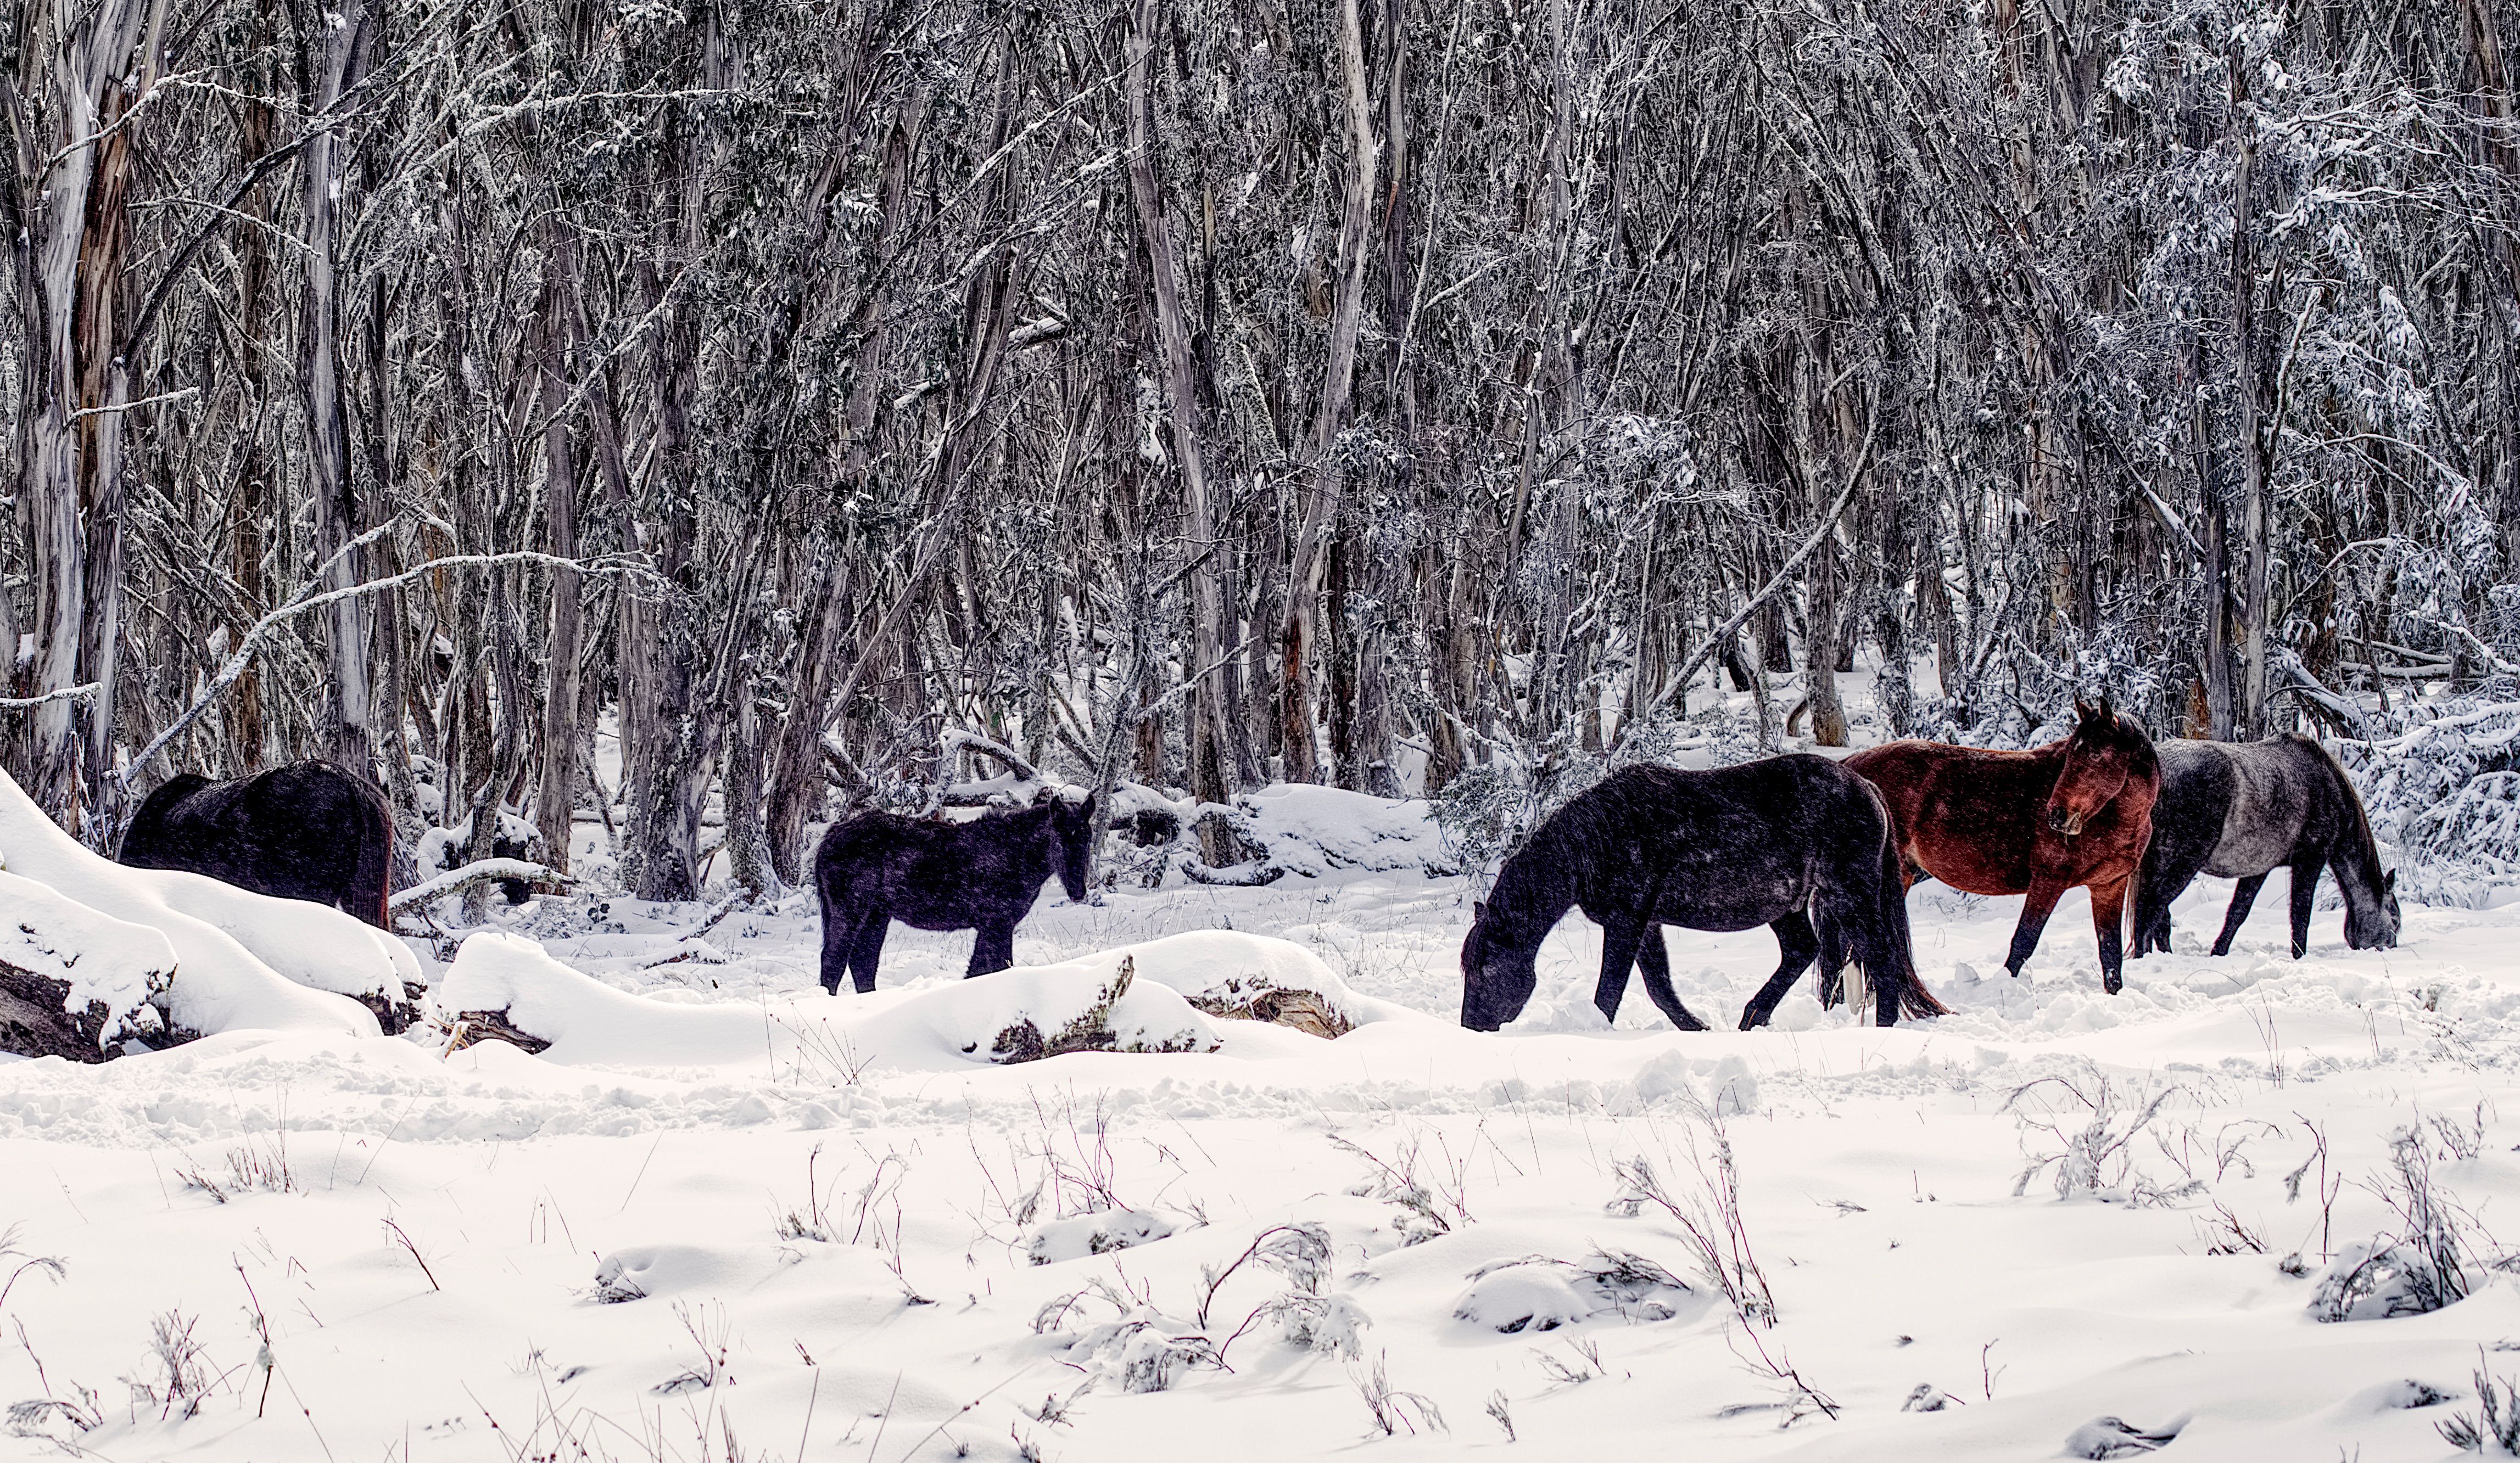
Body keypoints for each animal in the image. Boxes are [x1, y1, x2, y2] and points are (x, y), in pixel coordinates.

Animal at [815, 792, 1098, 993]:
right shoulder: (997, 923)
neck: (1016, 855)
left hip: (876, 916)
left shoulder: (994, 925)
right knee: (833, 961)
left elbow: (980, 970)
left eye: (1087, 839)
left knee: (862, 962)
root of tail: (829, 839)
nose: (1078, 891)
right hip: (850, 912)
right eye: (1059, 840)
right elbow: (995, 967)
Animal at [1458, 756, 1946, 1032]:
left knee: (1881, 957)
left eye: (1485, 968)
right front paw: (1695, 1027)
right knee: (1801, 952)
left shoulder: (1626, 920)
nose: (1471, 1026)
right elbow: (1658, 986)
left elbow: (1610, 990)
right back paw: (1753, 1016)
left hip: (1848, 895)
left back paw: (1880, 1028)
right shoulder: (1645, 923)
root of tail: (1867, 788)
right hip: (1787, 905)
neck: (1594, 841)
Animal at [1846, 696, 2159, 995]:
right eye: (2071, 754)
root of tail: (1851, 767)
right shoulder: (2049, 880)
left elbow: (2110, 954)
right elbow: (2023, 942)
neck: (2115, 820)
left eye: (2095, 754)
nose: (2056, 815)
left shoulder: (2109, 886)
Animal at [2131, 734, 2400, 960]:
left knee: (2156, 916)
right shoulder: (2311, 859)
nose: (2391, 950)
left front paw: (2219, 952)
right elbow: (2301, 914)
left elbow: (2238, 912)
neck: (2328, 788)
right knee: (2151, 912)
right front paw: (2299, 957)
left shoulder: (2258, 868)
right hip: (2183, 863)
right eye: (2395, 918)